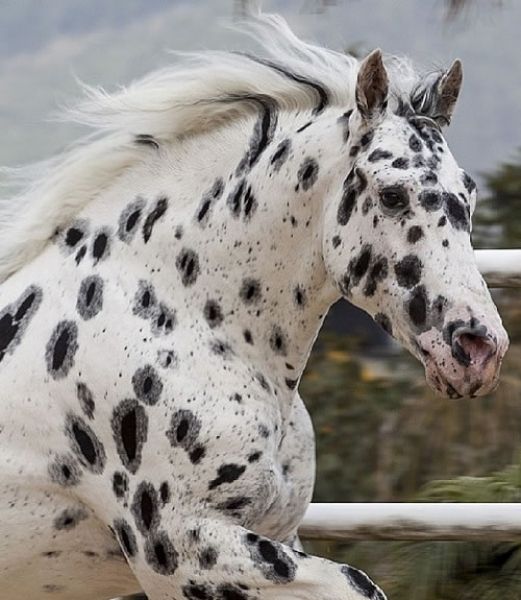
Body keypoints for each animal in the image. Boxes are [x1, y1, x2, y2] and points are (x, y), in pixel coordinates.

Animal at [0, 11, 508, 600]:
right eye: (391, 194)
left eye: (467, 196)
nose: (479, 349)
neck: (180, 312)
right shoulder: (185, 553)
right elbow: (360, 584)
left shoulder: (275, 534)